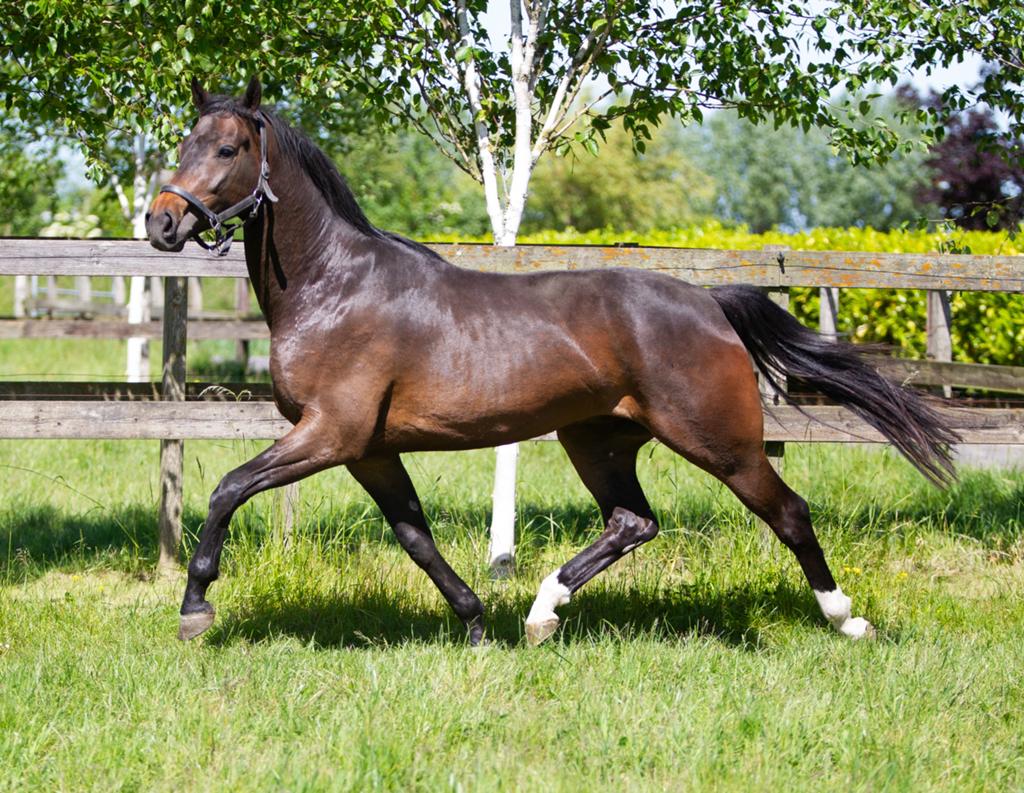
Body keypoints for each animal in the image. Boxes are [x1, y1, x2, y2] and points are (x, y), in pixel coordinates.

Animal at [146, 78, 958, 646]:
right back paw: (541, 613)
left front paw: (194, 607)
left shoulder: (329, 433)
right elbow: (416, 536)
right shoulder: (367, 448)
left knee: (787, 511)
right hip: (596, 439)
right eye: (185, 144)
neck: (334, 286)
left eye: (227, 149)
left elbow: (226, 488)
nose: (161, 222)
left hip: (719, 440)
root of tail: (708, 303)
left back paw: (847, 618)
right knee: (633, 522)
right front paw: (475, 621)